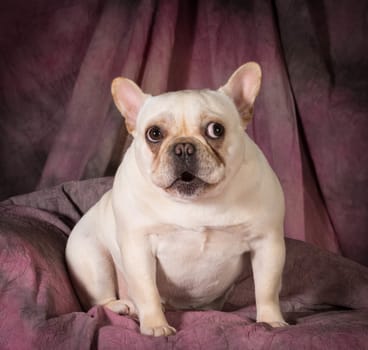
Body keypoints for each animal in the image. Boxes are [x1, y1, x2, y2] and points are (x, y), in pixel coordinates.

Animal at [67, 62, 290, 336]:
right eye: (154, 134)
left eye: (216, 130)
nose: (184, 147)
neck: (196, 202)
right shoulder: (138, 248)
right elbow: (147, 291)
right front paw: (156, 325)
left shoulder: (267, 243)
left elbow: (267, 289)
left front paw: (271, 320)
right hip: (94, 262)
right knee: (101, 299)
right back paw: (122, 306)